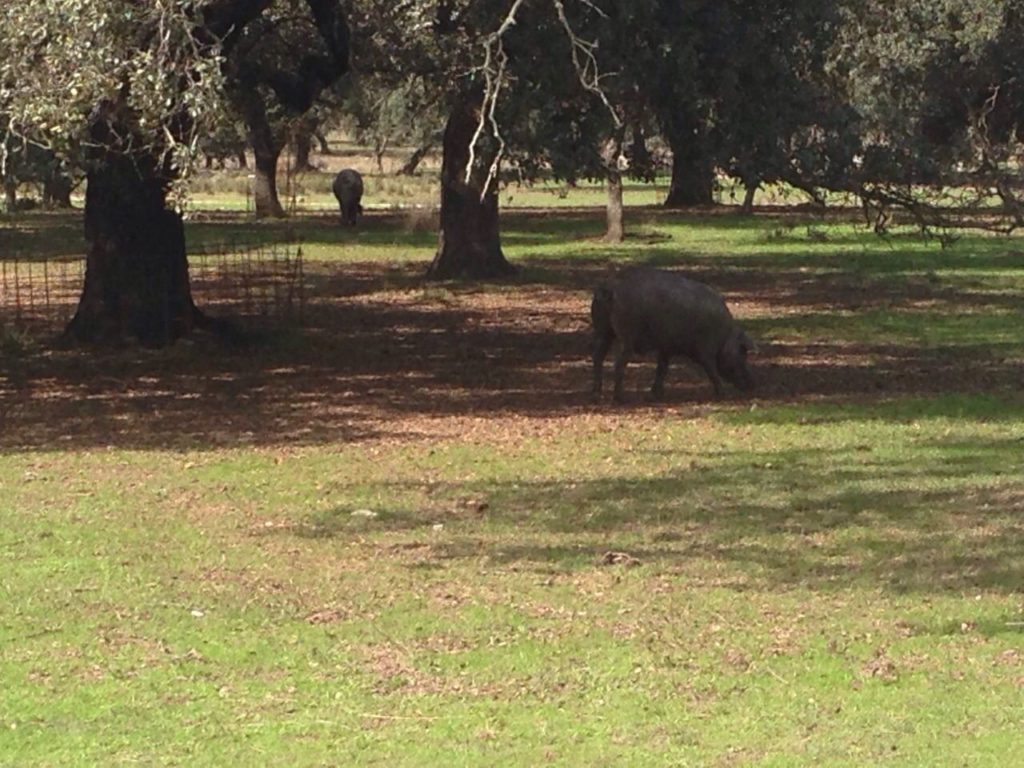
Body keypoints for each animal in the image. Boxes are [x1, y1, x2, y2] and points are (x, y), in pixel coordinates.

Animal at [593, 268, 753, 403]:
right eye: (743, 353)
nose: (751, 385)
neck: (724, 336)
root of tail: (611, 288)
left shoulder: (666, 348)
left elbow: (662, 368)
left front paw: (657, 395)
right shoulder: (706, 350)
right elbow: (711, 370)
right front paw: (724, 394)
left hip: (602, 331)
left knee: (597, 358)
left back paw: (596, 394)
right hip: (626, 336)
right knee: (618, 363)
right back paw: (620, 399)